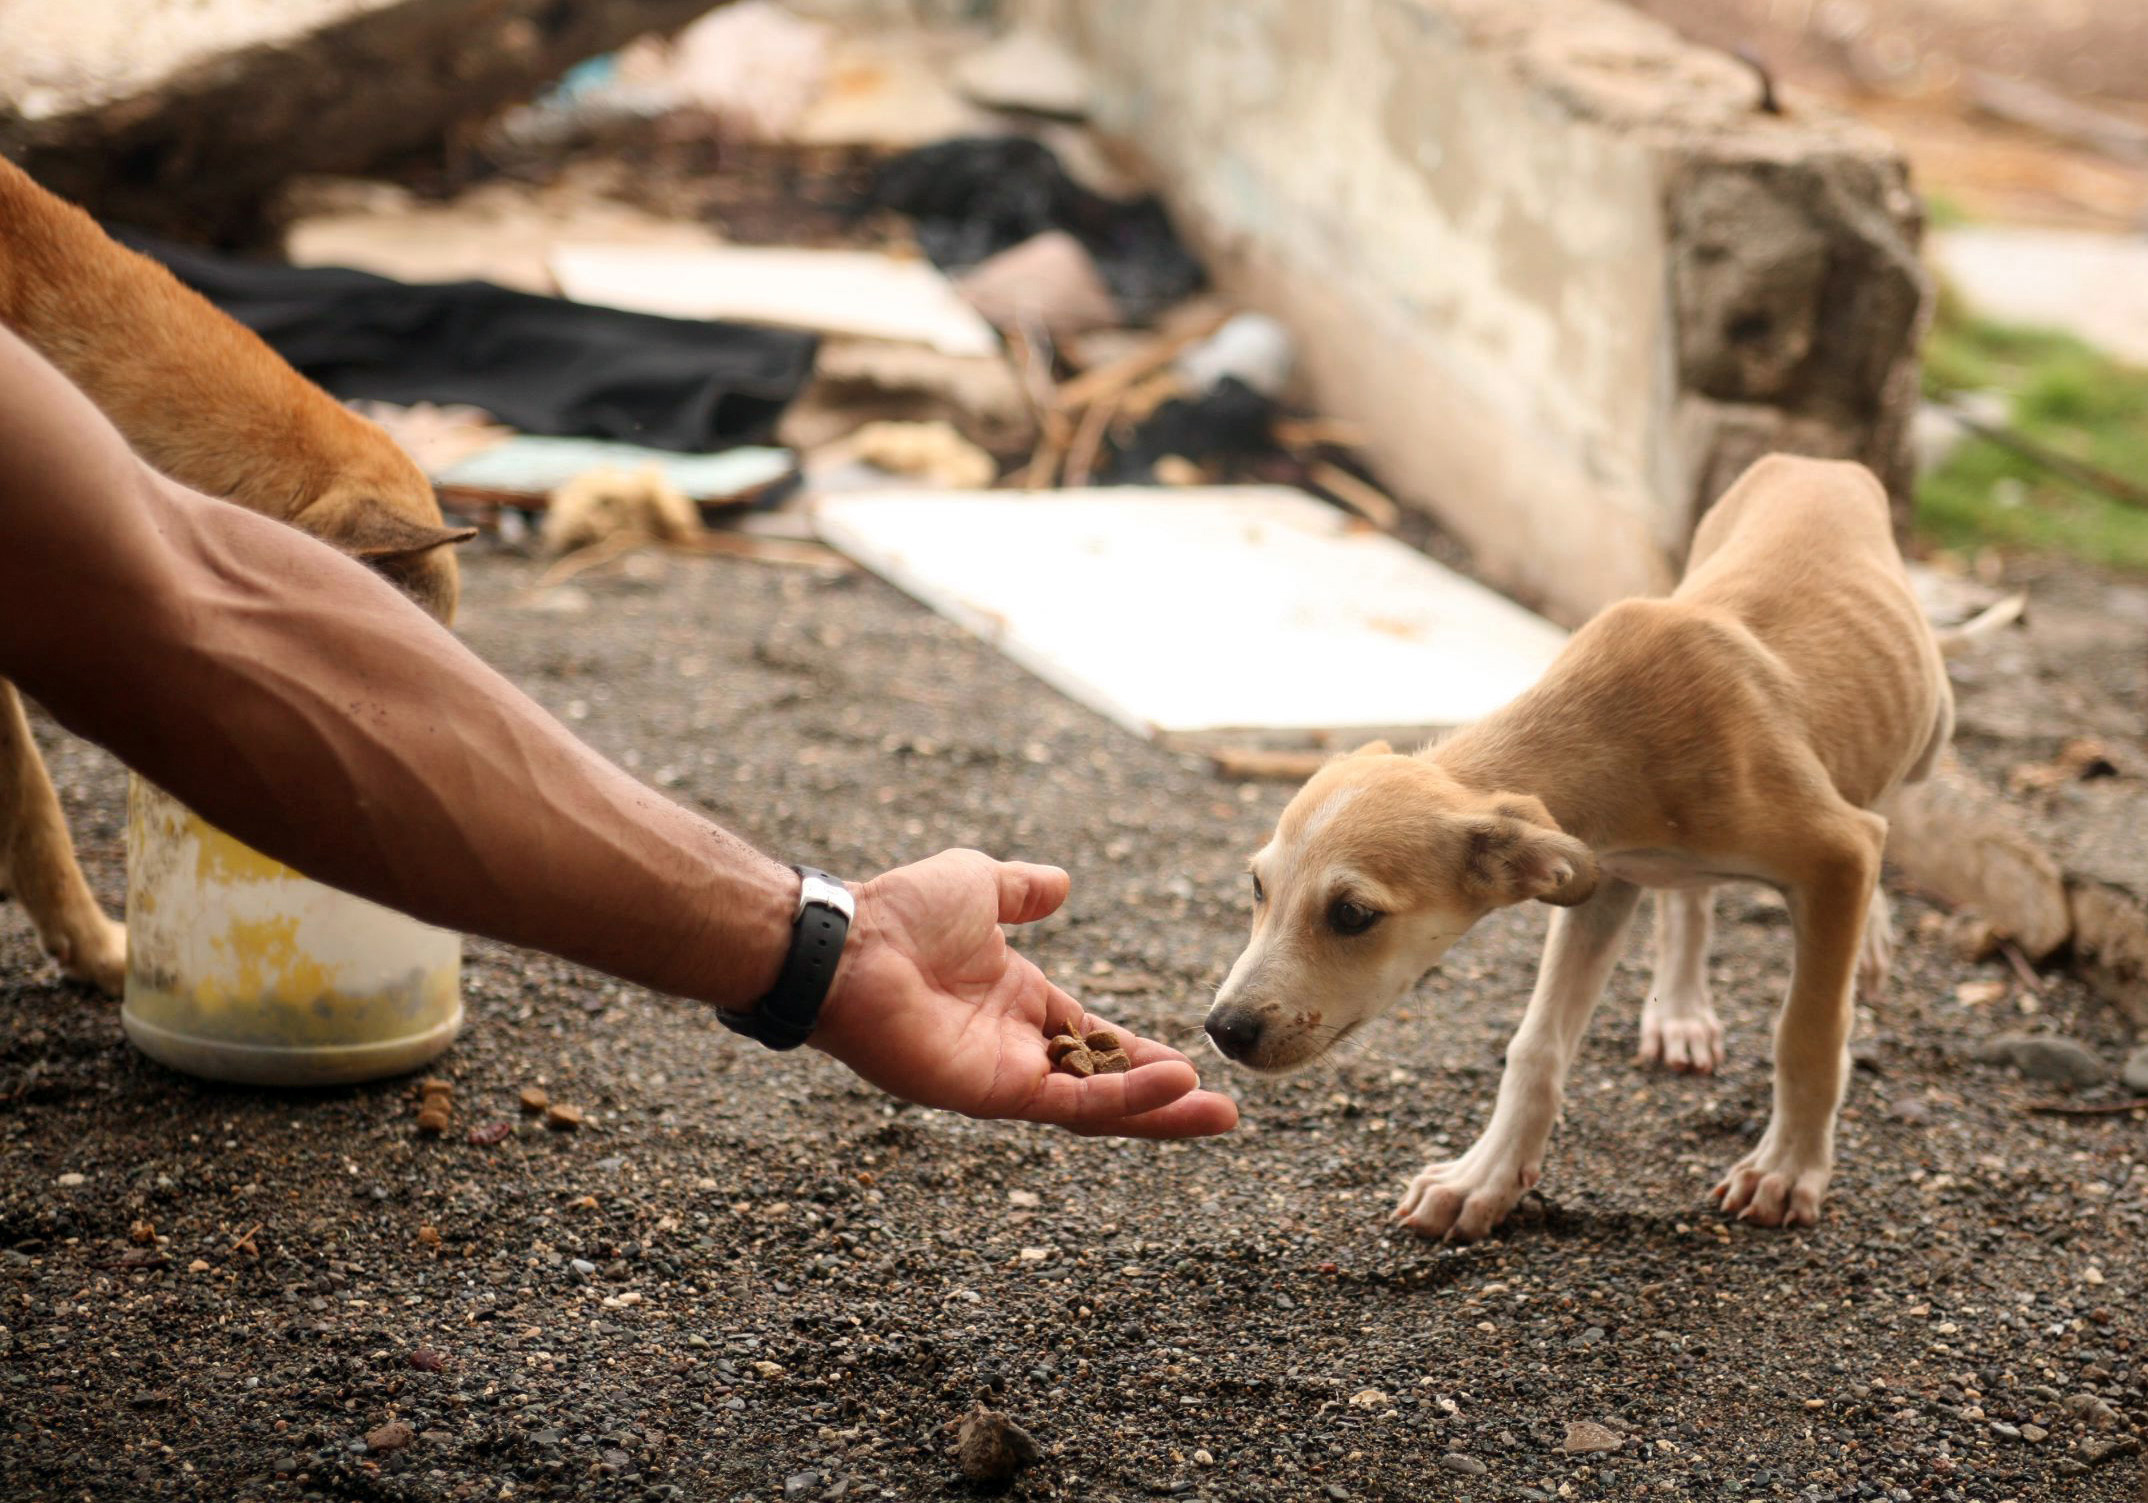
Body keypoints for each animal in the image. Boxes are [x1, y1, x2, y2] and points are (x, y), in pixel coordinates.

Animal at [1202, 453, 1958, 1236]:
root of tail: (1815, 460)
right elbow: (1536, 1047)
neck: (1617, 730)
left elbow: (1807, 1031)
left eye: (1352, 914)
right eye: (1258, 888)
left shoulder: (1837, 851)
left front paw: (1787, 1168)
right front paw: (1483, 1179)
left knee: (1883, 802)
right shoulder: (1601, 879)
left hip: (1929, 729)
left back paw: (1867, 942)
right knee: (1691, 900)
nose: (1223, 1029)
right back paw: (1681, 1013)